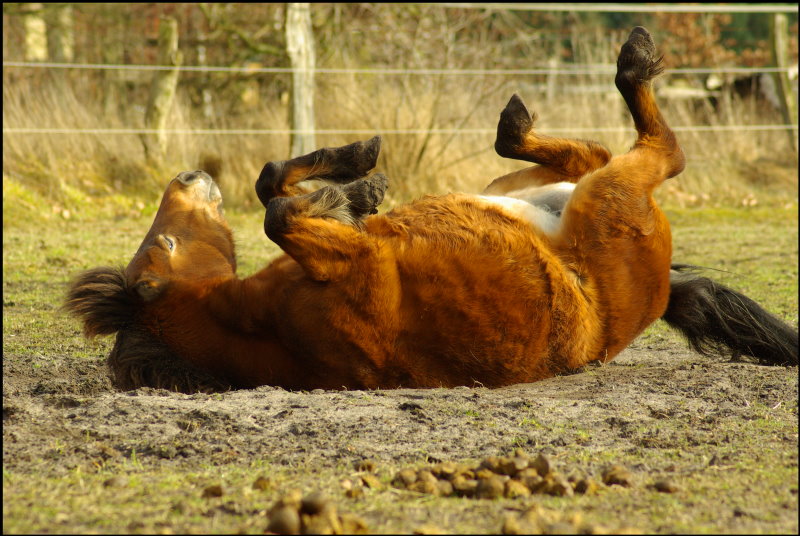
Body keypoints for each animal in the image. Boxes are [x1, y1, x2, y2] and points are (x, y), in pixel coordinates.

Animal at [65, 28, 796, 394]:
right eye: (162, 247)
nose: (188, 175)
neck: (264, 327)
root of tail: (659, 286)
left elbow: (272, 186)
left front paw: (358, 181)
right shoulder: (351, 259)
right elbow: (276, 213)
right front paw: (353, 184)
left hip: (532, 182)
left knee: (576, 149)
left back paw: (513, 120)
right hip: (610, 194)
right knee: (661, 149)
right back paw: (635, 57)